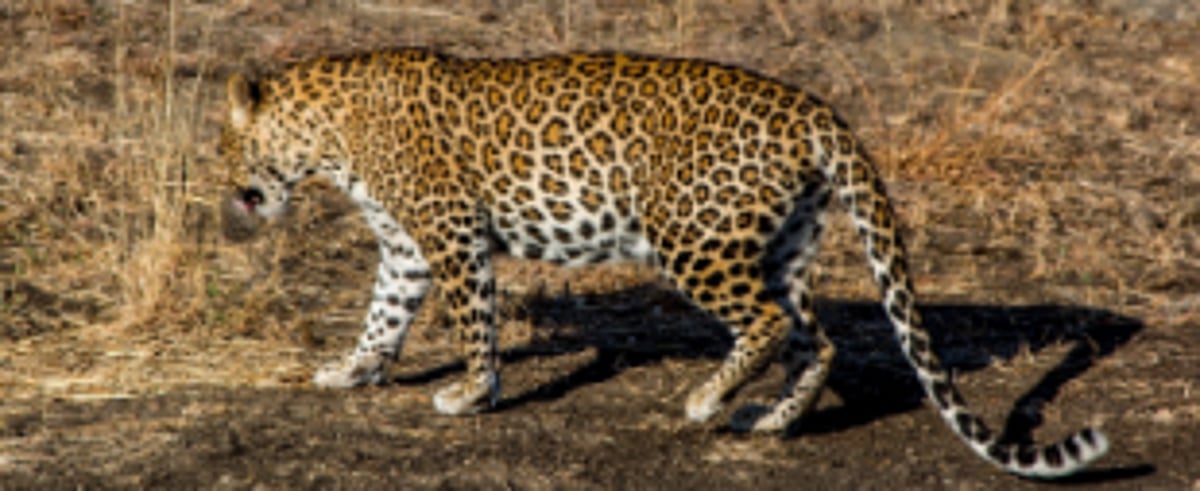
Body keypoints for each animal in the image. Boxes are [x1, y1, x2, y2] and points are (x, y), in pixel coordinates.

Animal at [218, 48, 1109, 478]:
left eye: (225, 144)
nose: (231, 193)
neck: (327, 138)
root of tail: (817, 108)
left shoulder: (448, 230)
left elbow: (472, 318)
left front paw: (472, 392)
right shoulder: (405, 244)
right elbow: (384, 312)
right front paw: (351, 370)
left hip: (692, 238)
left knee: (763, 323)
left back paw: (708, 398)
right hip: (782, 244)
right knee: (814, 338)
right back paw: (769, 420)